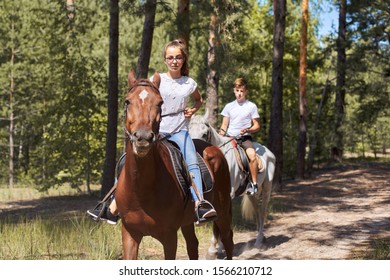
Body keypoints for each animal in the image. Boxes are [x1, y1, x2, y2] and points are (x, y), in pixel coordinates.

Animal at [114, 70, 233, 260]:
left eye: (159, 102)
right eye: (127, 101)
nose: (143, 138)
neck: (142, 189)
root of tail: (214, 149)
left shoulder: (169, 236)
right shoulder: (130, 234)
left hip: (222, 211)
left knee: (228, 240)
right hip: (188, 221)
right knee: (193, 245)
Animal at [188, 110, 274, 250]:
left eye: (204, 134)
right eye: (189, 132)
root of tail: (269, 152)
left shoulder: (227, 194)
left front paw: (217, 246)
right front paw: (216, 246)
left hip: (267, 188)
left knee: (262, 212)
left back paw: (258, 241)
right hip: (251, 194)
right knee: (256, 212)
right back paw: (262, 237)